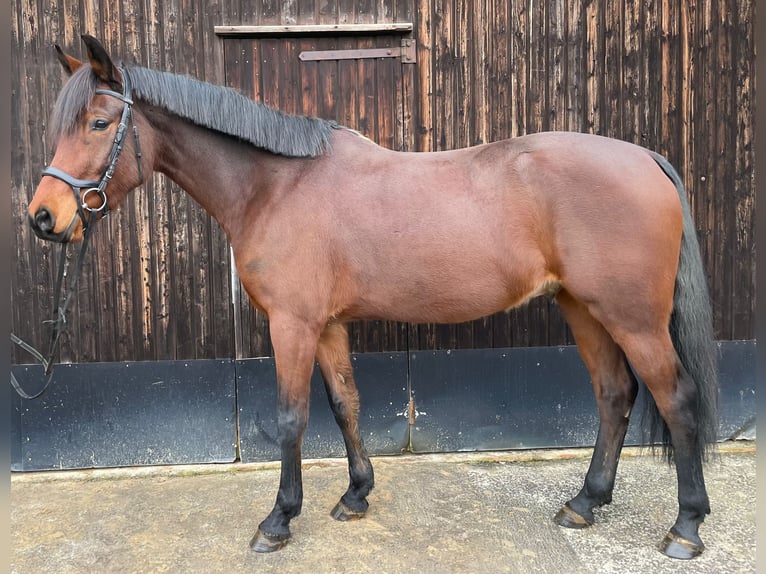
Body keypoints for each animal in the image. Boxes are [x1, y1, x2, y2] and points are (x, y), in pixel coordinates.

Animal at [24, 36, 720, 564]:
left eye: (99, 122)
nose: (43, 217)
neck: (276, 186)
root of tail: (648, 159)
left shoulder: (293, 324)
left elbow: (291, 418)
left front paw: (278, 521)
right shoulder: (327, 326)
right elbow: (345, 405)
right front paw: (355, 495)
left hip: (634, 319)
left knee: (676, 399)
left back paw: (685, 528)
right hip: (584, 308)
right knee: (614, 395)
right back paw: (584, 503)